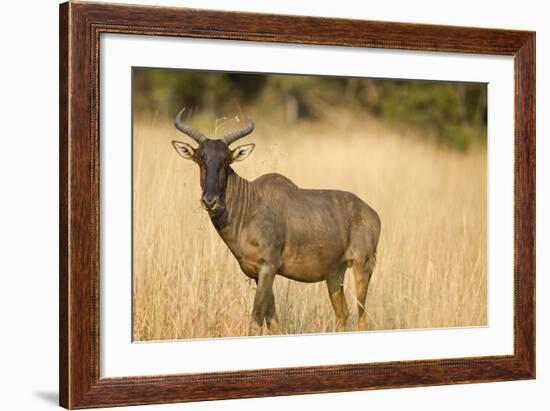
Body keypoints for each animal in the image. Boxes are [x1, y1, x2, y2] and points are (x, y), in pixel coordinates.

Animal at [172, 109, 380, 334]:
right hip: (334, 274)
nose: (210, 201)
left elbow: (255, 321)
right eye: (200, 159)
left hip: (362, 267)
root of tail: (372, 213)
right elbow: (273, 323)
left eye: (226, 160)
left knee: (361, 318)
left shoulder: (268, 268)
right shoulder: (257, 273)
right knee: (343, 315)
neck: (250, 203)